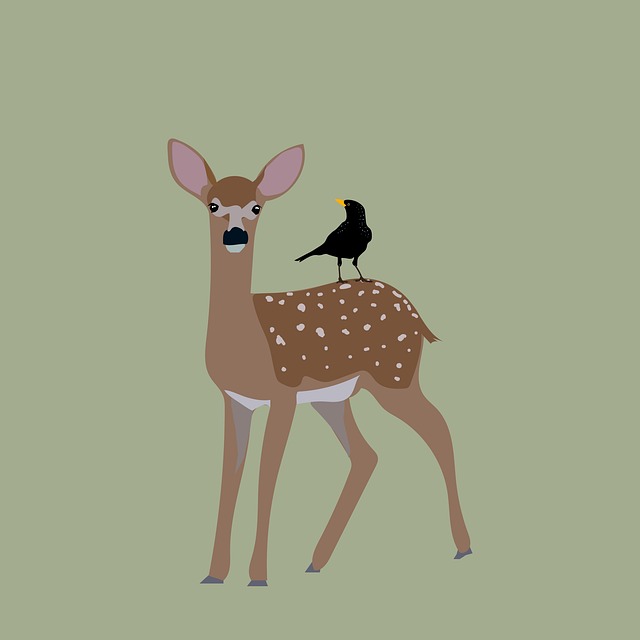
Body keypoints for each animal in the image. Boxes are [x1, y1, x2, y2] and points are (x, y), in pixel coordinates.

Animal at [167, 138, 472, 587]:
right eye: (212, 204)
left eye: (257, 207)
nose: (234, 234)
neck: (248, 344)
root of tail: (416, 313)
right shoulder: (235, 399)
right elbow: (230, 476)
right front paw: (214, 574)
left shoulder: (284, 390)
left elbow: (267, 476)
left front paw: (258, 575)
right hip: (335, 397)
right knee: (367, 454)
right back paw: (315, 560)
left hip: (394, 375)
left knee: (438, 430)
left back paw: (463, 546)